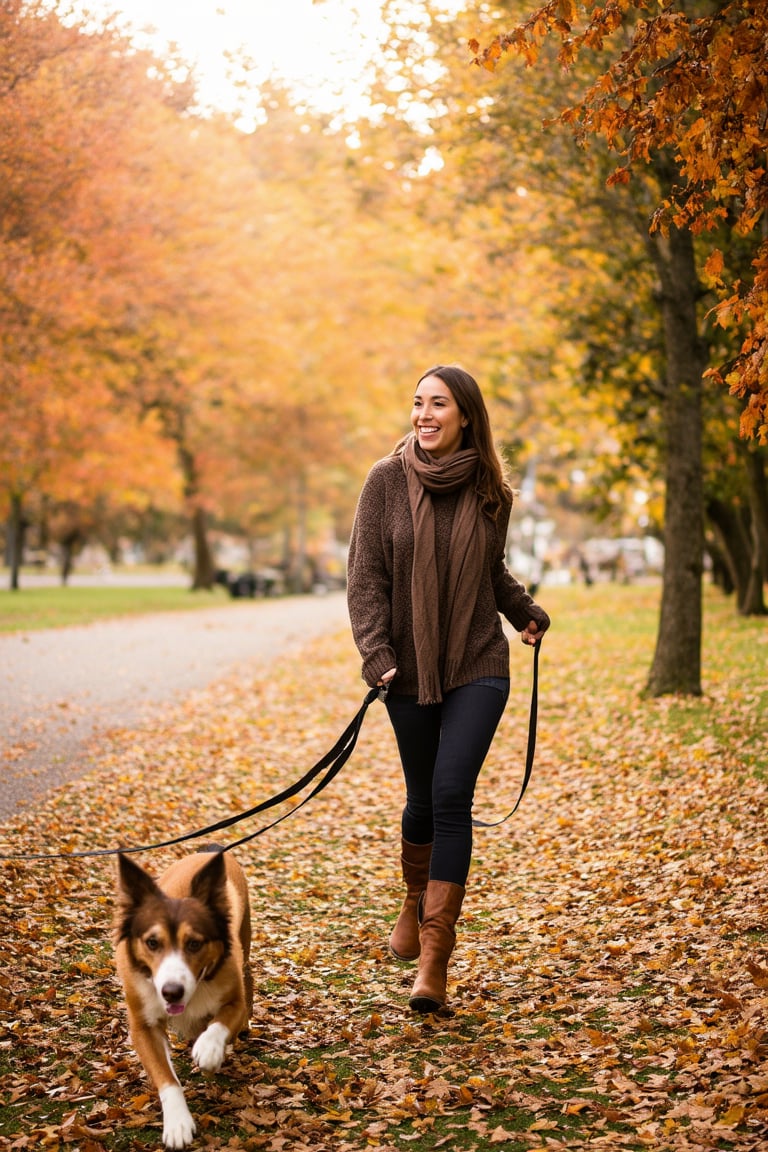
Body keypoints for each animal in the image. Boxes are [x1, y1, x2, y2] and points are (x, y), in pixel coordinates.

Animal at [113, 843, 252, 1147]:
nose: (171, 992)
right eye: (152, 942)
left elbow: (220, 1024)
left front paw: (209, 1050)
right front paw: (177, 1123)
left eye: (195, 944)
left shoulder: (234, 1001)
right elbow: (165, 1077)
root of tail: (210, 849)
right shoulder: (143, 1026)